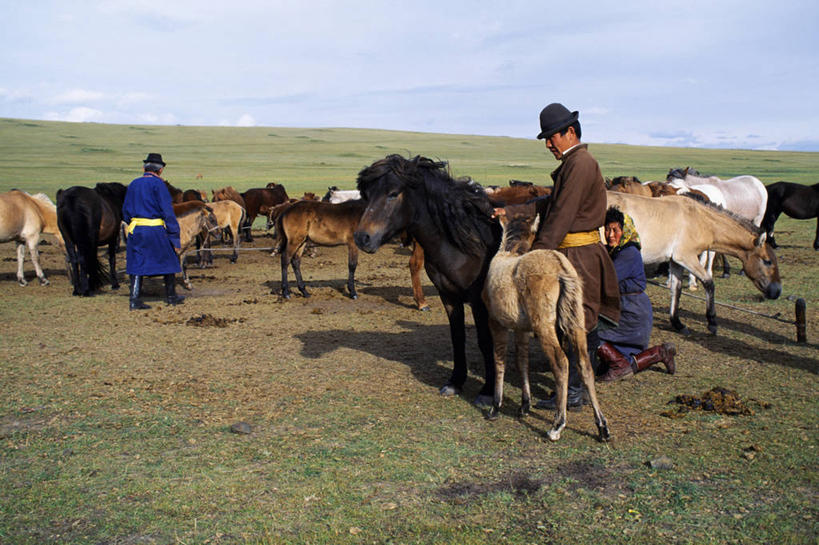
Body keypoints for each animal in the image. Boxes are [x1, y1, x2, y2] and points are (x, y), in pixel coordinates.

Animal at [352, 153, 500, 404]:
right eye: (367, 195)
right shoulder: (448, 296)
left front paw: (488, 391)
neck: (468, 243)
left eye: (393, 193)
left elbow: (485, 341)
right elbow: (457, 336)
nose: (363, 238)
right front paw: (455, 382)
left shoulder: (480, 302)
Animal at [480, 212, 608, 442]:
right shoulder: (521, 328)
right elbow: (522, 361)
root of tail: (560, 269)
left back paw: (557, 424)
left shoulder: (496, 322)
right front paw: (524, 405)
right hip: (575, 320)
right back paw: (602, 427)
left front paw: (495, 406)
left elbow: (499, 360)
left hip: (544, 326)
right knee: (584, 363)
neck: (508, 253)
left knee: (561, 362)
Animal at [608, 191, 780, 336]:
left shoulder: (675, 261)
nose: (777, 292)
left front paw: (677, 323)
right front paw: (712, 322)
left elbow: (676, 289)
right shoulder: (686, 257)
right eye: (767, 261)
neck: (699, 220)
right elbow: (709, 283)